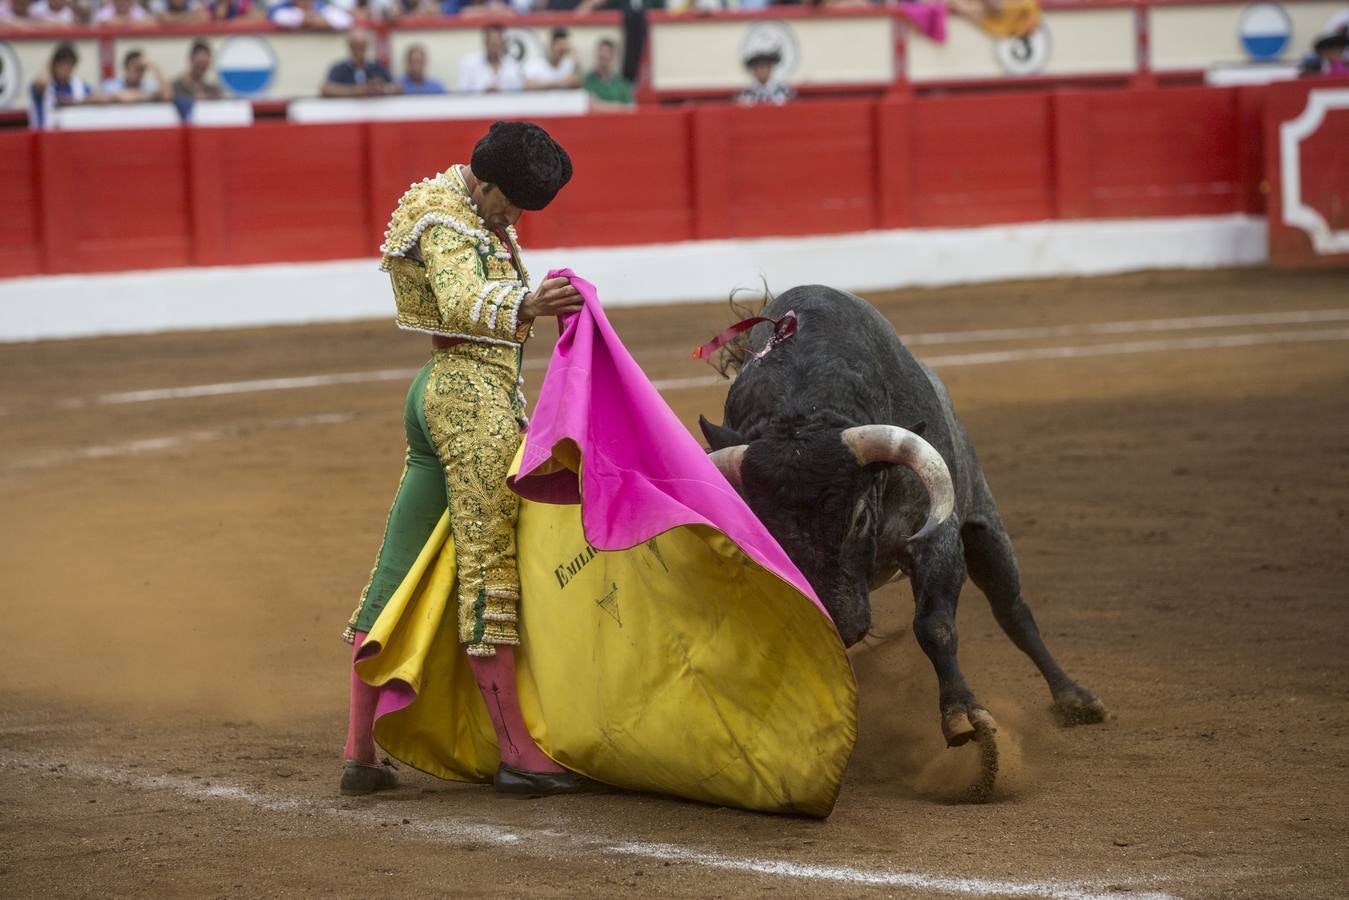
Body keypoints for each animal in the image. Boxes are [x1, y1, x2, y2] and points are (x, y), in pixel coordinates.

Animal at [701, 287, 1100, 755]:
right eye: (767, 531)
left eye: (859, 518)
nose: (841, 625)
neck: (803, 411)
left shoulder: (937, 540)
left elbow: (935, 626)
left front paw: (964, 714)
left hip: (983, 526)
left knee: (1011, 607)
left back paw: (1074, 697)